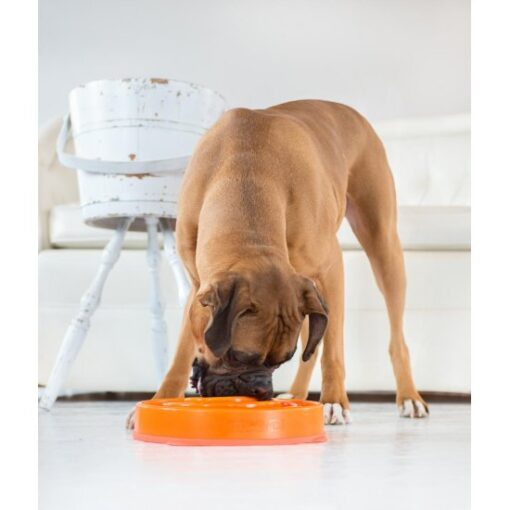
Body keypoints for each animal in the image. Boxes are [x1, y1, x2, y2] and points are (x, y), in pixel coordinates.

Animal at [150, 100, 426, 426]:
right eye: (238, 356)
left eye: (279, 362)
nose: (260, 389)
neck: (244, 177)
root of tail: (349, 111)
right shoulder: (198, 286)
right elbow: (181, 352)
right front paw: (161, 399)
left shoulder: (331, 270)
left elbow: (333, 349)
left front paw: (334, 401)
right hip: (310, 294)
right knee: (314, 342)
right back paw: (297, 394)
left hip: (383, 249)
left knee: (394, 339)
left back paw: (408, 397)